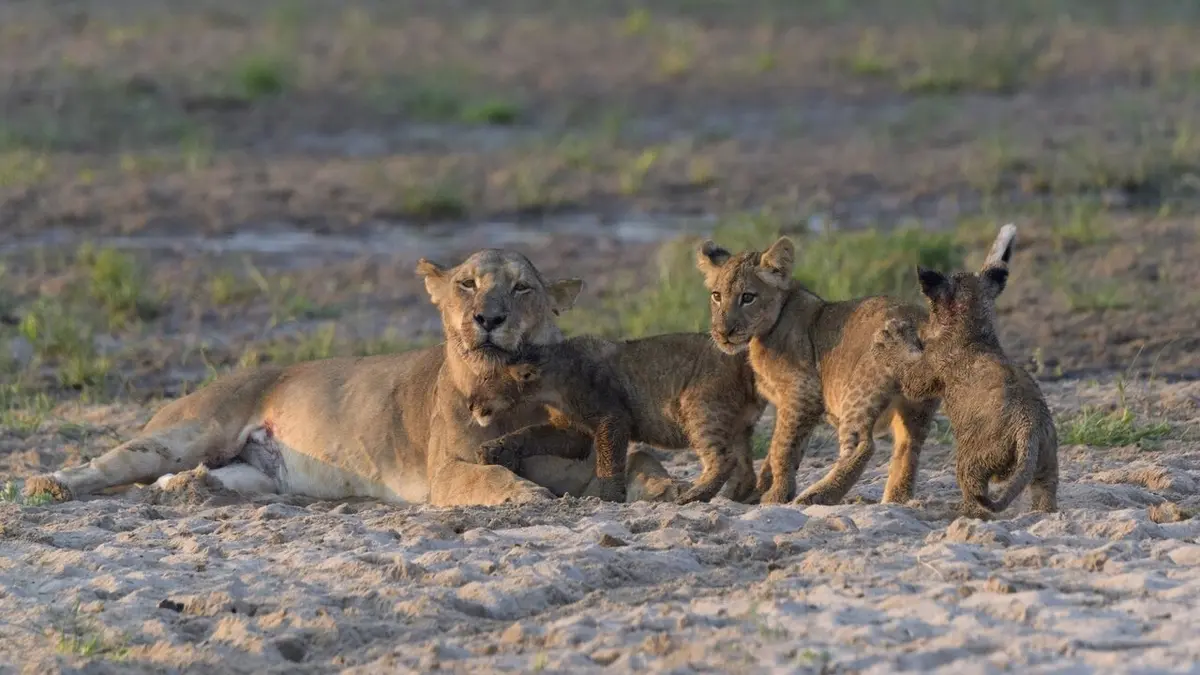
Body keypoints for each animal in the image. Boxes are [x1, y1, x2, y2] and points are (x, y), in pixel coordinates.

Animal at [22, 249, 676, 507]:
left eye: (521, 288)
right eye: (467, 284)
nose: (488, 318)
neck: (509, 388)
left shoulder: (562, 450)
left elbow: (633, 459)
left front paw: (658, 483)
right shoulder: (445, 472)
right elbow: (487, 479)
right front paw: (525, 496)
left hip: (259, 478)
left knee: (191, 479)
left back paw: (189, 490)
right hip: (190, 430)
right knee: (109, 463)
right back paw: (48, 484)